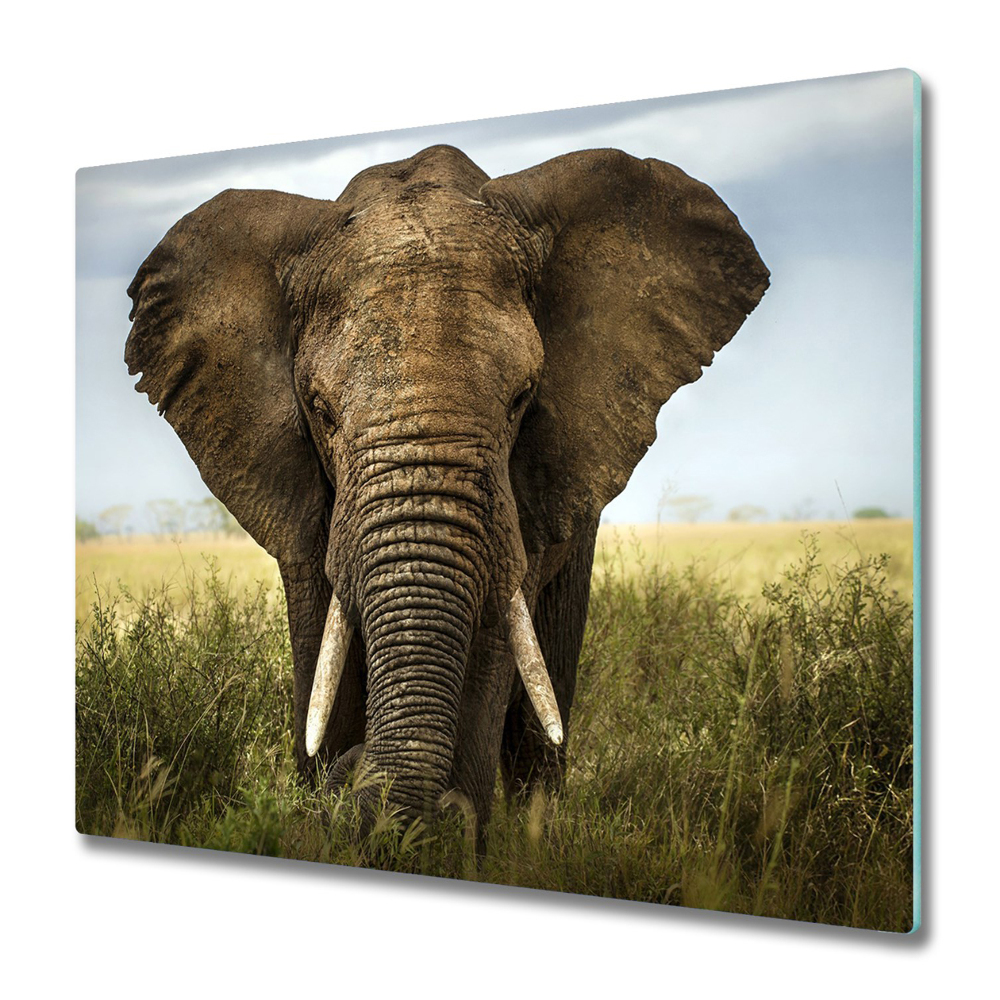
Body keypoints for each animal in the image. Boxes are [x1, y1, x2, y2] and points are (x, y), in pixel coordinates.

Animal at [125, 144, 768, 841]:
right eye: (320, 411)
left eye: (522, 399)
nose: (353, 773)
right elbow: (320, 646)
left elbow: (492, 639)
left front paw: (449, 835)